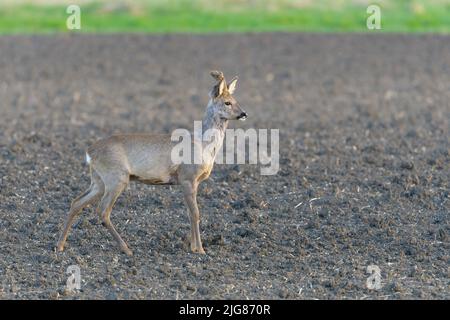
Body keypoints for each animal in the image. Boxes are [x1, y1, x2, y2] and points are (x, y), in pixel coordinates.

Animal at [56, 71, 248, 256]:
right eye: (227, 102)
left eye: (236, 100)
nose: (244, 114)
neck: (203, 144)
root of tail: (90, 151)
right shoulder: (187, 177)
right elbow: (195, 213)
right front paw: (200, 250)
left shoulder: (192, 182)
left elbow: (189, 213)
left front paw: (193, 247)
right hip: (116, 178)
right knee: (103, 211)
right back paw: (126, 249)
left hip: (98, 180)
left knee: (76, 202)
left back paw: (60, 246)